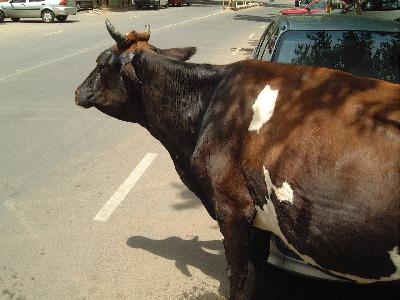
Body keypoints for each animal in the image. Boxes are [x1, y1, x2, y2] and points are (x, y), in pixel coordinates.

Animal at [76, 20, 400, 298]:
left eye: (102, 63)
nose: (77, 91)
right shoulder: (259, 217)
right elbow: (260, 272)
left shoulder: (233, 208)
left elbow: (240, 277)